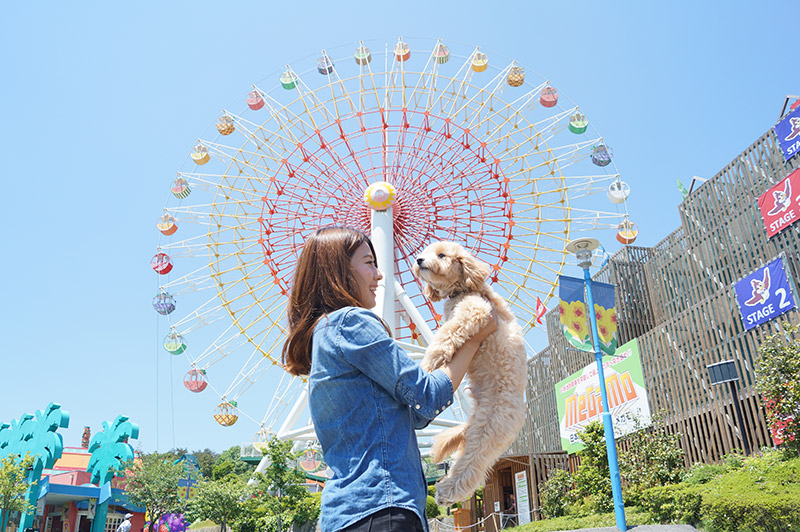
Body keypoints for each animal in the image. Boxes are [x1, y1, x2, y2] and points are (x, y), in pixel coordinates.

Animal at [416, 241, 528, 502]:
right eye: (425, 252)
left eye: (441, 255)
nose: (418, 260)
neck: (462, 290)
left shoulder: (475, 312)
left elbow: (444, 337)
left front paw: (427, 363)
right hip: (475, 429)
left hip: (489, 430)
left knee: (471, 466)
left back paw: (446, 492)